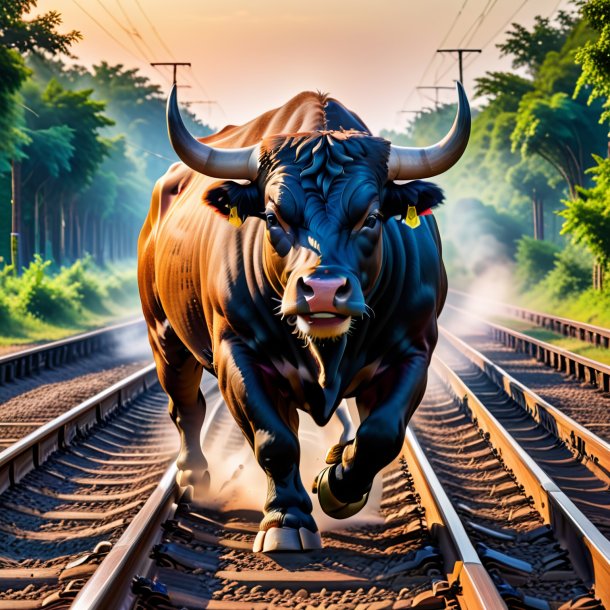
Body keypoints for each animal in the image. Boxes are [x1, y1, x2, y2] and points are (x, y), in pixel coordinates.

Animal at [139, 86, 470, 552]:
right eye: (273, 217)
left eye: (370, 217)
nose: (324, 290)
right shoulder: (237, 352)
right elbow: (274, 439)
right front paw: (287, 519)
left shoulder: (414, 351)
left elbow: (380, 434)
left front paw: (336, 484)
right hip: (164, 335)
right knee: (185, 404)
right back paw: (193, 474)